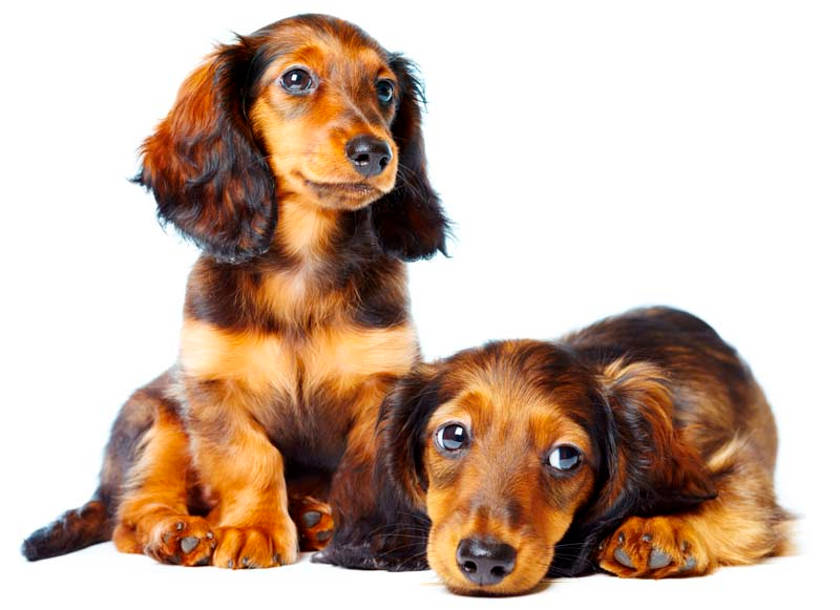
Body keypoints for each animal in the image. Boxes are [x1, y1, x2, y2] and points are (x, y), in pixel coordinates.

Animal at [23, 13, 450, 564]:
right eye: (296, 78)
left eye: (385, 88)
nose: (376, 152)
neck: (302, 267)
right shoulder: (212, 387)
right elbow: (250, 459)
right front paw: (253, 529)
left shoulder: (383, 385)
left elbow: (363, 470)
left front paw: (367, 532)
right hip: (159, 417)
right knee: (131, 516)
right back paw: (176, 532)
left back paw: (313, 516)